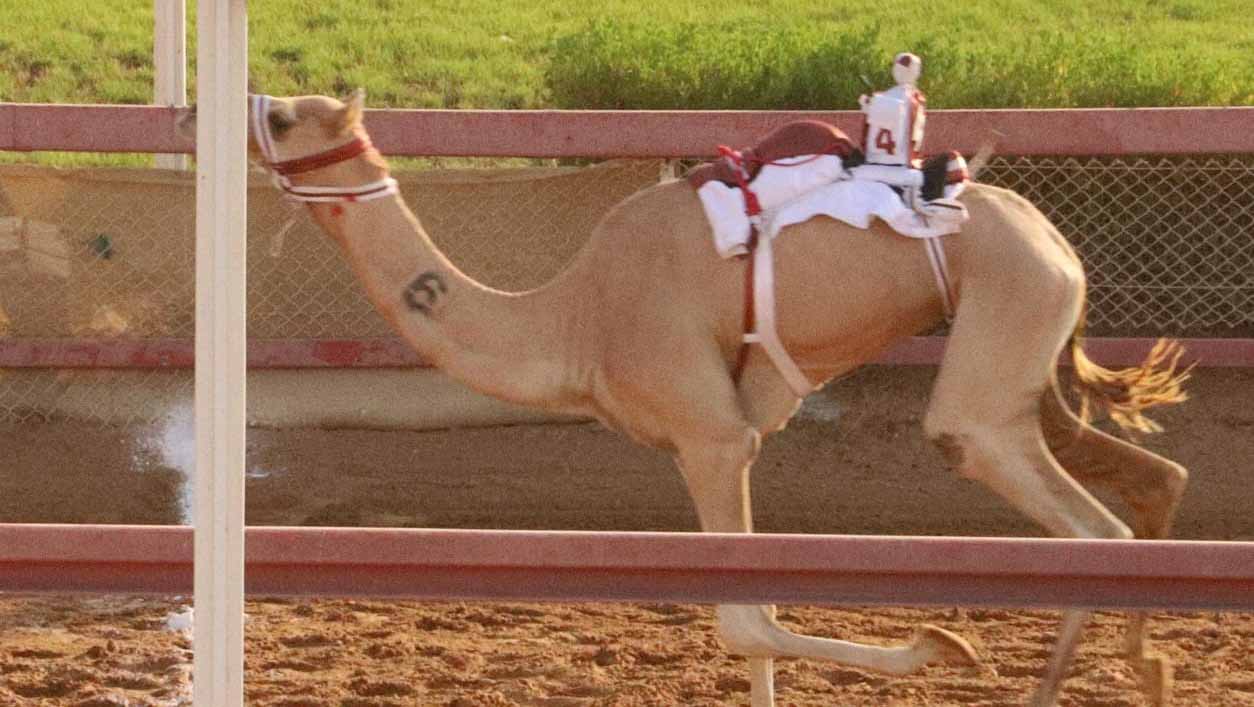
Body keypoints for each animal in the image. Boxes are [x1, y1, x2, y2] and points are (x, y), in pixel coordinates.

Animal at [180, 91, 1191, 706]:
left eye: (285, 114)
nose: (221, 111)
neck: (576, 321)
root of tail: (1057, 241)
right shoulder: (727, 434)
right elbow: (754, 628)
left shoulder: (711, 437)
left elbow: (745, 620)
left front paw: (943, 646)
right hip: (1033, 353)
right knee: (1150, 481)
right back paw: (1148, 664)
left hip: (1003, 325)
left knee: (1063, 507)